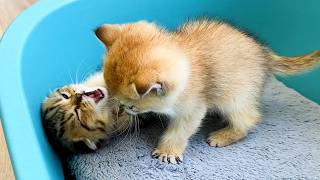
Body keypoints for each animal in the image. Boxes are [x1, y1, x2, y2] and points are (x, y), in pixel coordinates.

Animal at [95, 20, 320, 164]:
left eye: (131, 106)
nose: (123, 109)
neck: (187, 58)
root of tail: (265, 55)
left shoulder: (193, 109)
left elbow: (180, 130)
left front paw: (168, 151)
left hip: (234, 97)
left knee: (249, 118)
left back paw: (224, 135)